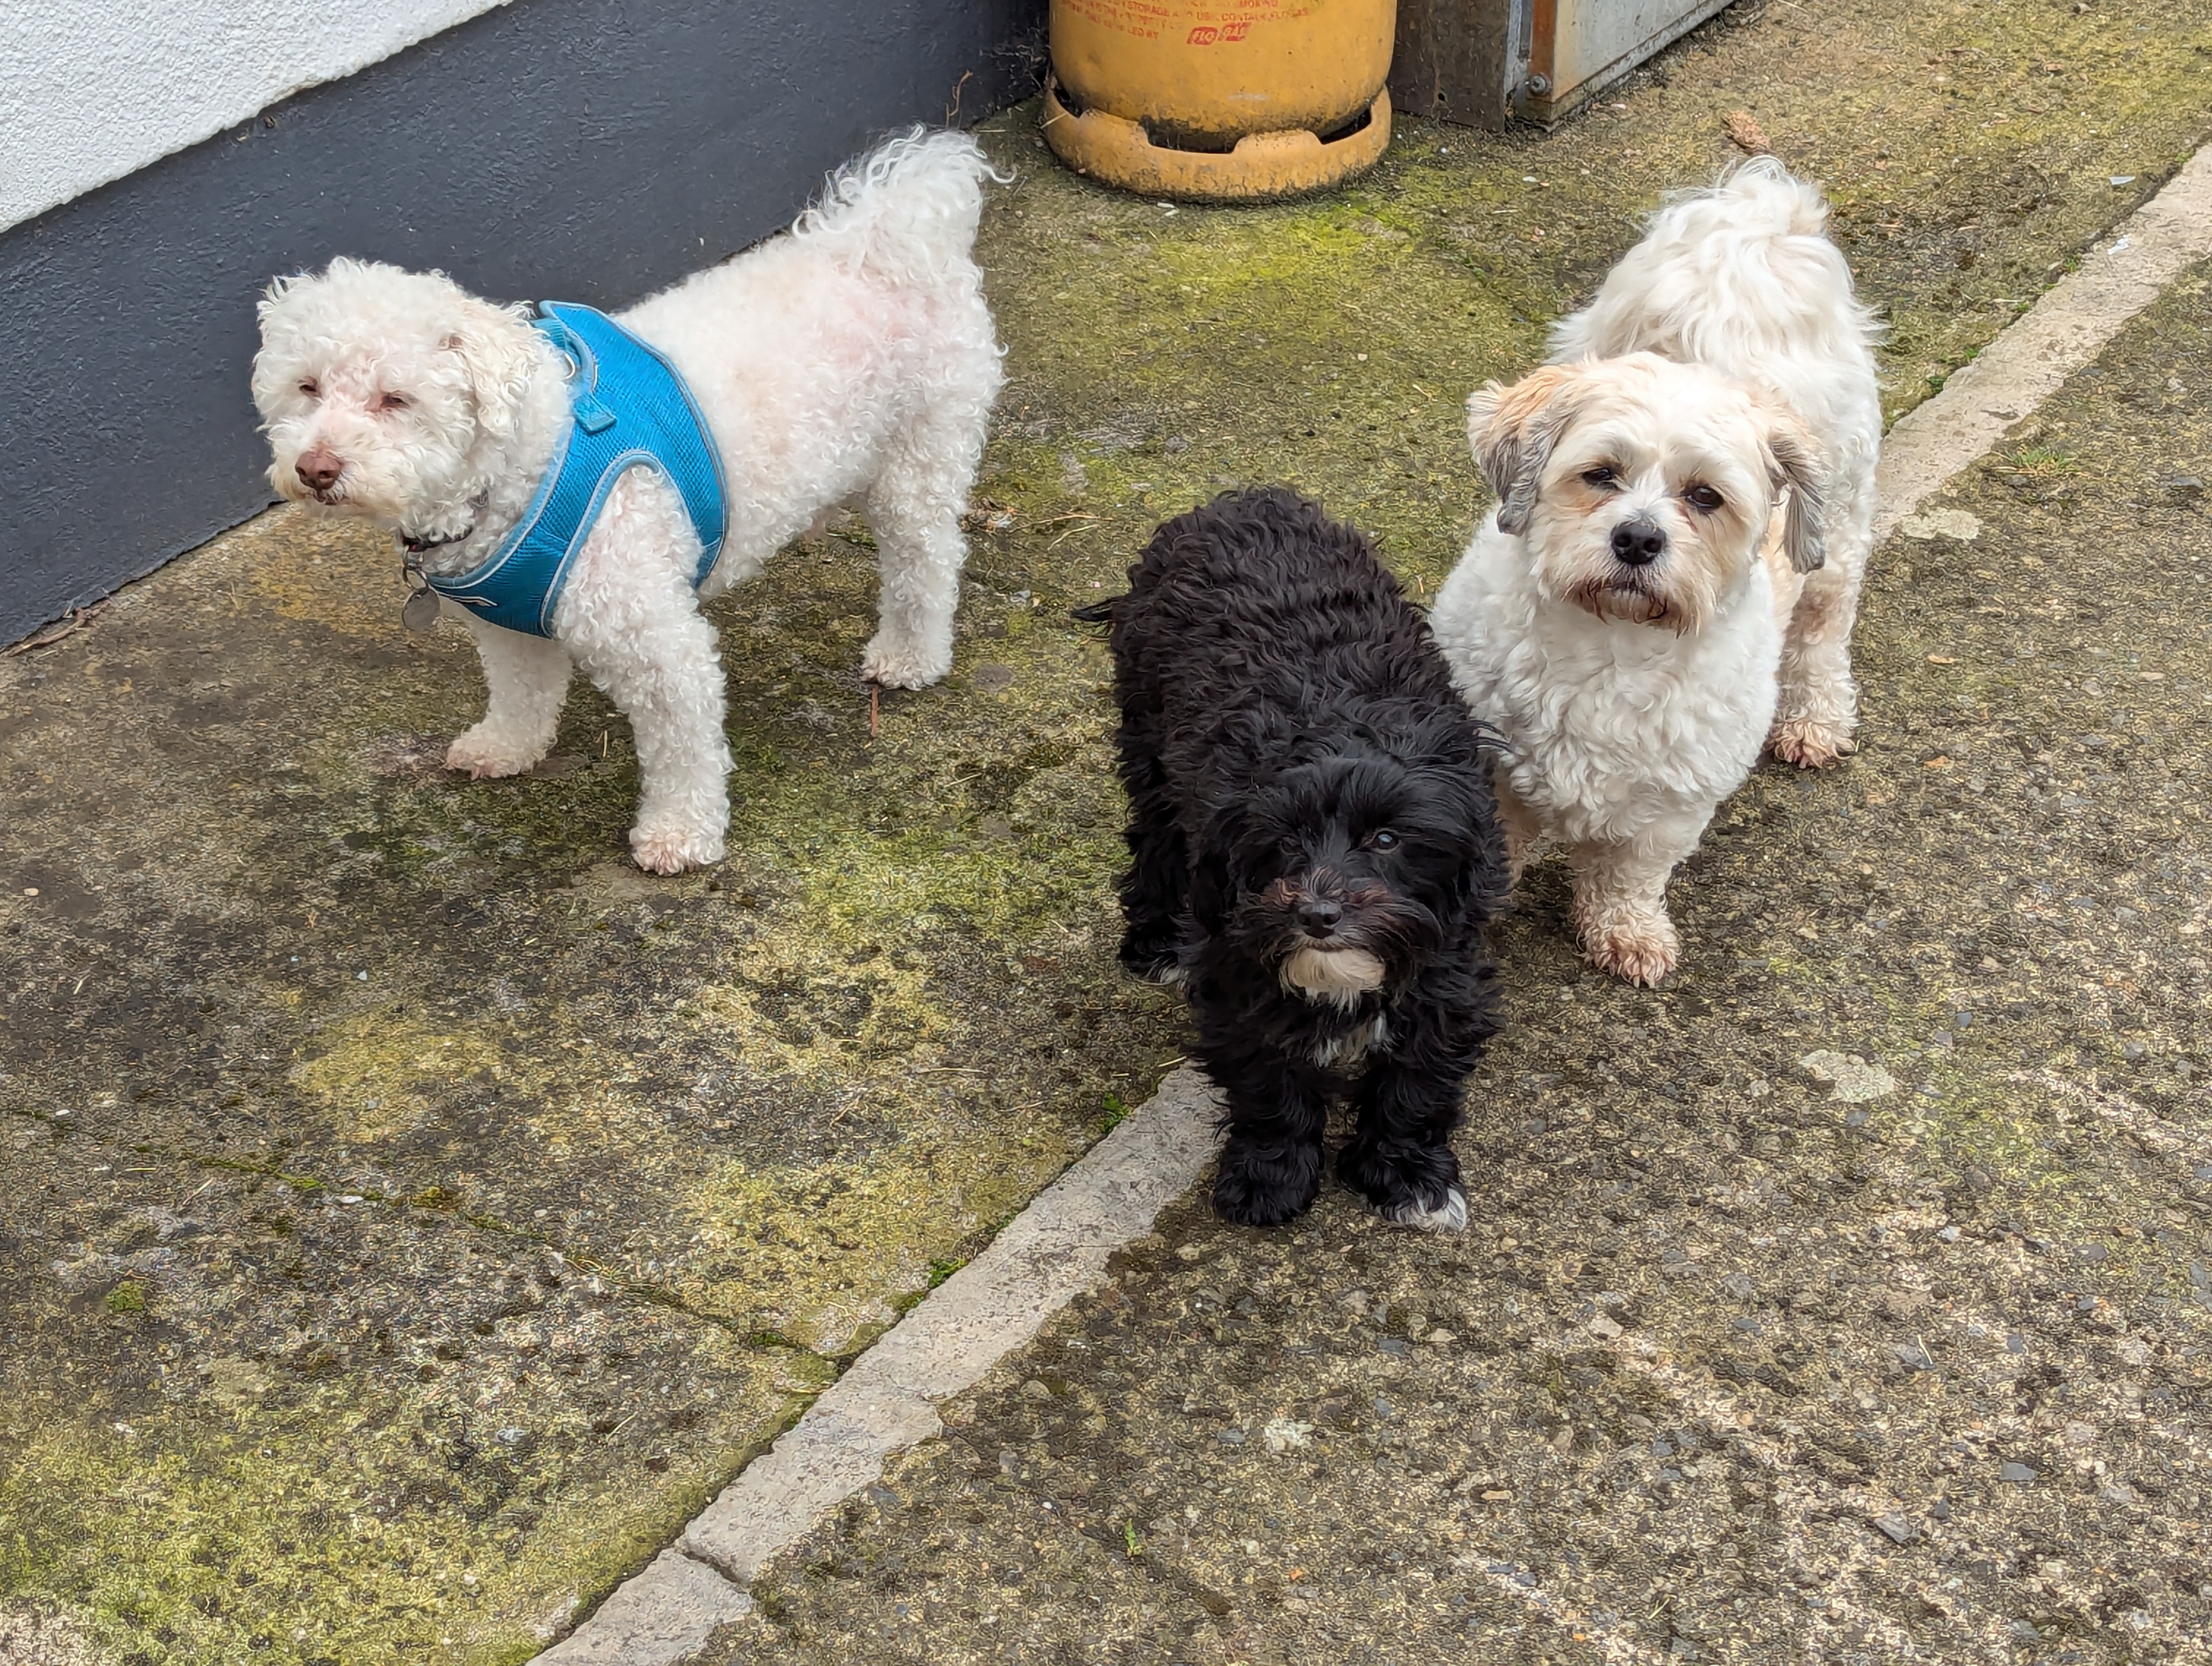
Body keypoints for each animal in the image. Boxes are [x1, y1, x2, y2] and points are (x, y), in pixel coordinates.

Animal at [251, 130, 1004, 872]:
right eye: (308, 387)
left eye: (396, 399)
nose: (315, 468)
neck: (526, 462)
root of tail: (883, 239)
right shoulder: (508, 628)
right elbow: (521, 695)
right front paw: (506, 747)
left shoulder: (658, 644)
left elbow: (685, 748)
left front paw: (680, 834)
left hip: (919, 462)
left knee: (926, 562)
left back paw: (910, 656)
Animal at [1079, 486, 1513, 1230]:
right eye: (1284, 841)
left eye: (1387, 840)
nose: (1317, 915)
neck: (1338, 725)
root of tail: (1242, 497)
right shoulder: (1238, 966)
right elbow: (1269, 1088)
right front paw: (1270, 1177)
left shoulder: (1444, 967)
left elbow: (1416, 1082)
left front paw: (1408, 1176)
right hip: (1149, 746)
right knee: (1154, 841)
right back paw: (1154, 939)